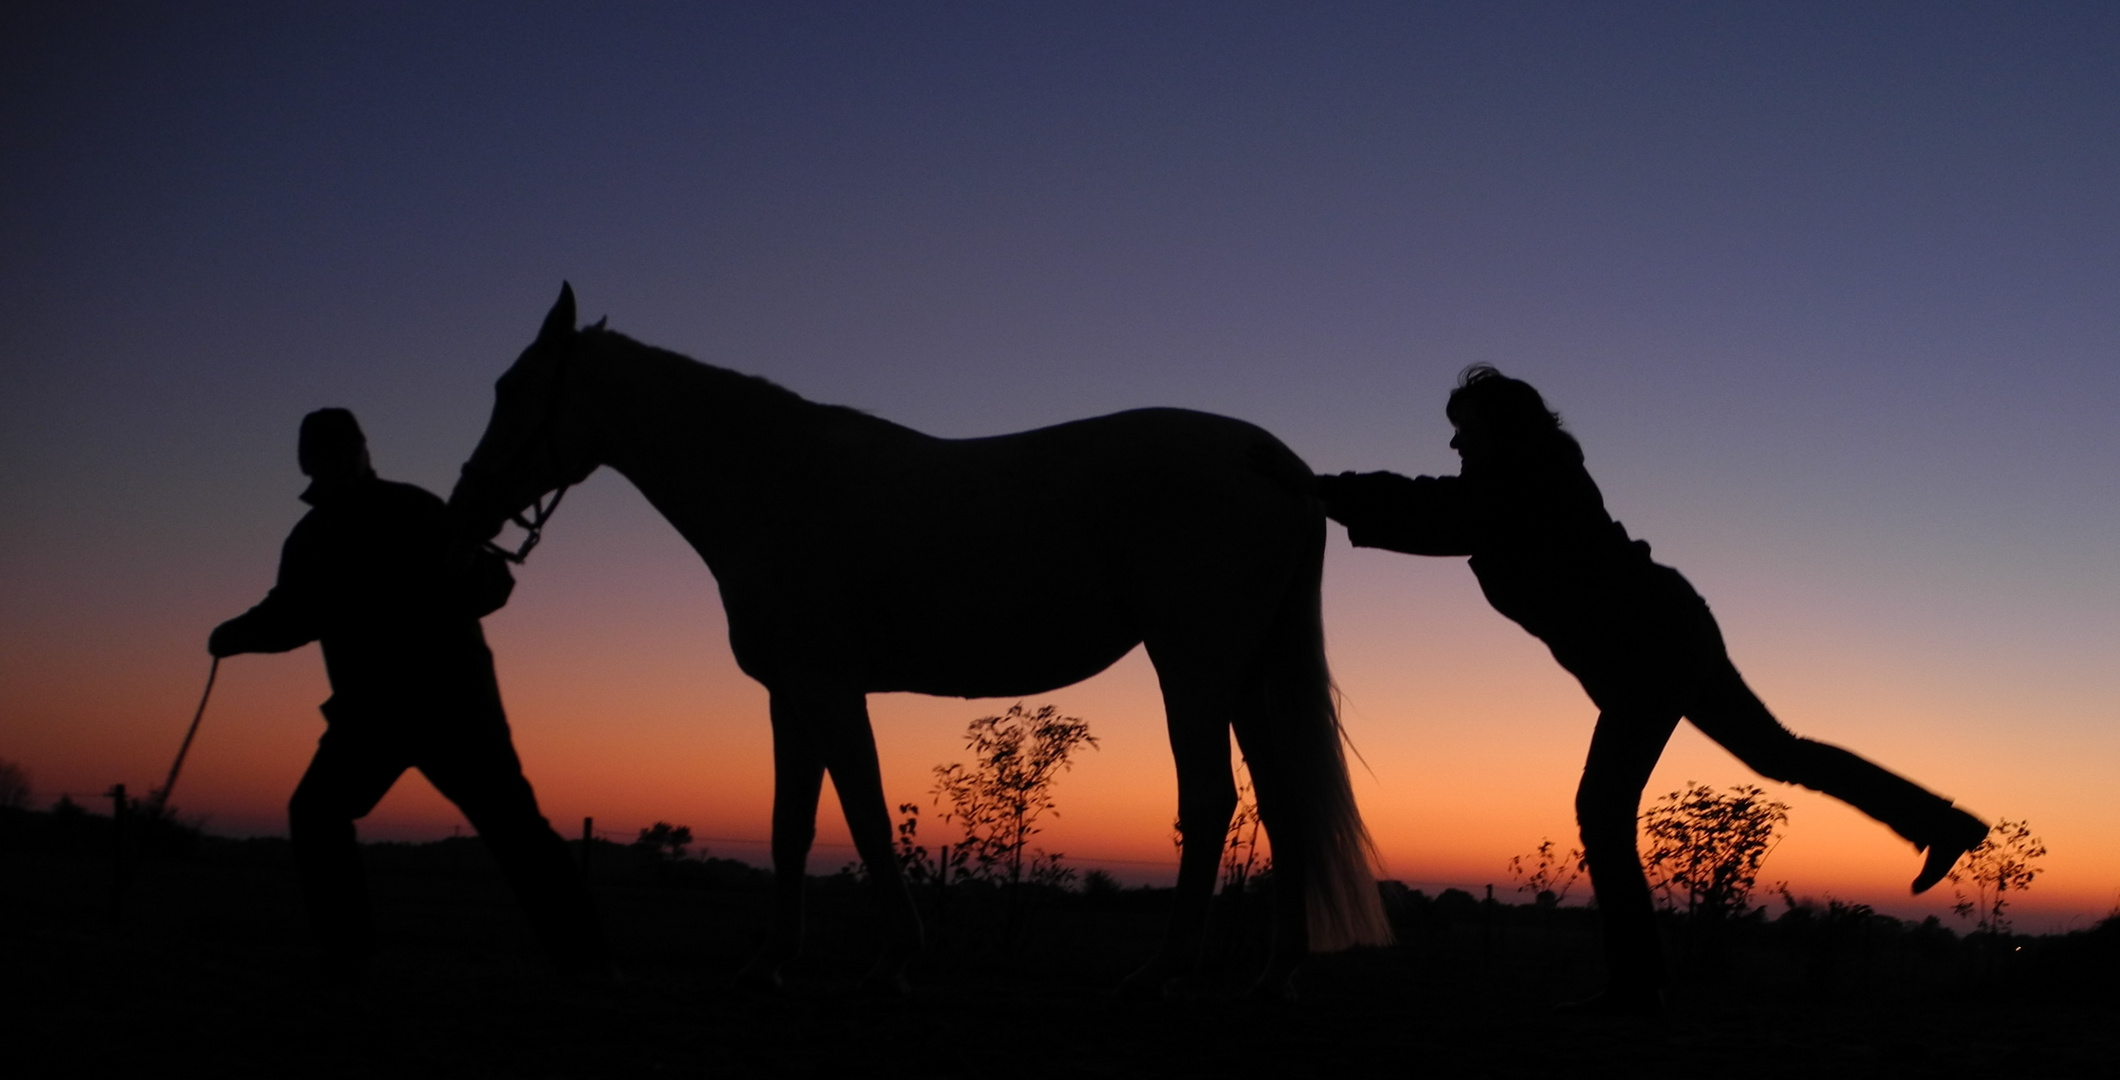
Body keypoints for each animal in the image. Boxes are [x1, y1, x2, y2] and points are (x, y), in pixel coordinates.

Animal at [447, 284, 1390, 993]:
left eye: (513, 389)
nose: (467, 508)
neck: (771, 482)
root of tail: (1271, 459)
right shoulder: (789, 695)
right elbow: (791, 826)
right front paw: (771, 960)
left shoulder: (827, 686)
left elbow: (861, 812)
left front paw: (895, 957)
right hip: (1248, 672)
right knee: (1282, 803)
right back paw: (1275, 970)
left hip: (1192, 665)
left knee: (1212, 801)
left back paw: (1163, 969)